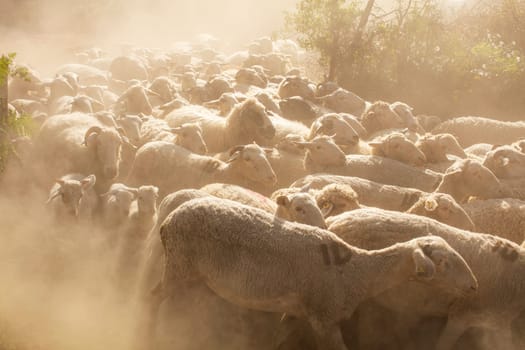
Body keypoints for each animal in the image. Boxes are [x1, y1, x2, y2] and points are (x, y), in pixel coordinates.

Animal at [127, 142, 276, 197]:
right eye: (247, 158)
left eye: (265, 155)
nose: (272, 177)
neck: (222, 173)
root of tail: (145, 146)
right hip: (135, 179)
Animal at [146, 197, 474, 350]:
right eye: (443, 262)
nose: (473, 285)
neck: (357, 273)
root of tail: (169, 221)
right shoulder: (324, 319)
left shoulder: (297, 313)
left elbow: (277, 338)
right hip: (179, 267)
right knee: (155, 301)